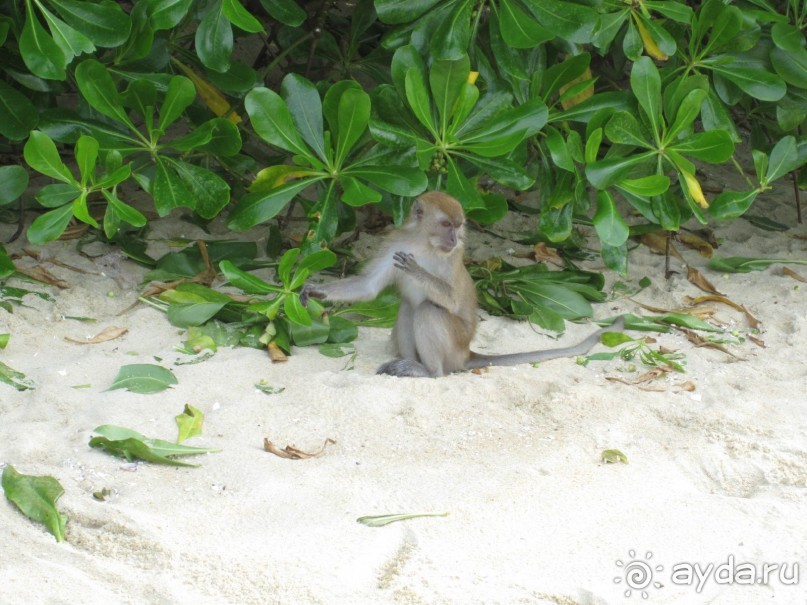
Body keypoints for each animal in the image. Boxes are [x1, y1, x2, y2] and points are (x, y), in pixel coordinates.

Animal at [300, 191, 620, 376]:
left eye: (458, 226)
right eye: (446, 225)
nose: (454, 239)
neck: (424, 243)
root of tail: (467, 352)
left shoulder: (452, 257)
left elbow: (452, 300)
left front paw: (417, 270)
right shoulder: (395, 243)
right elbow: (368, 287)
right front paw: (316, 290)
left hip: (453, 345)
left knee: (427, 311)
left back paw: (430, 372)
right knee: (408, 307)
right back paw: (408, 363)